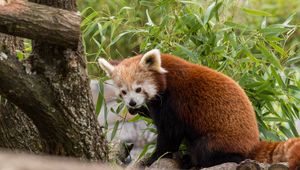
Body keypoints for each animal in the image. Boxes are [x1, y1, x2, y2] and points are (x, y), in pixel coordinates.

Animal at [98, 48, 300, 169]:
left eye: (139, 89)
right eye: (123, 92)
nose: (132, 103)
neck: (165, 77)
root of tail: (254, 142)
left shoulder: (175, 103)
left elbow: (170, 135)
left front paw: (153, 157)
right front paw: (139, 110)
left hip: (221, 139)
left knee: (206, 150)